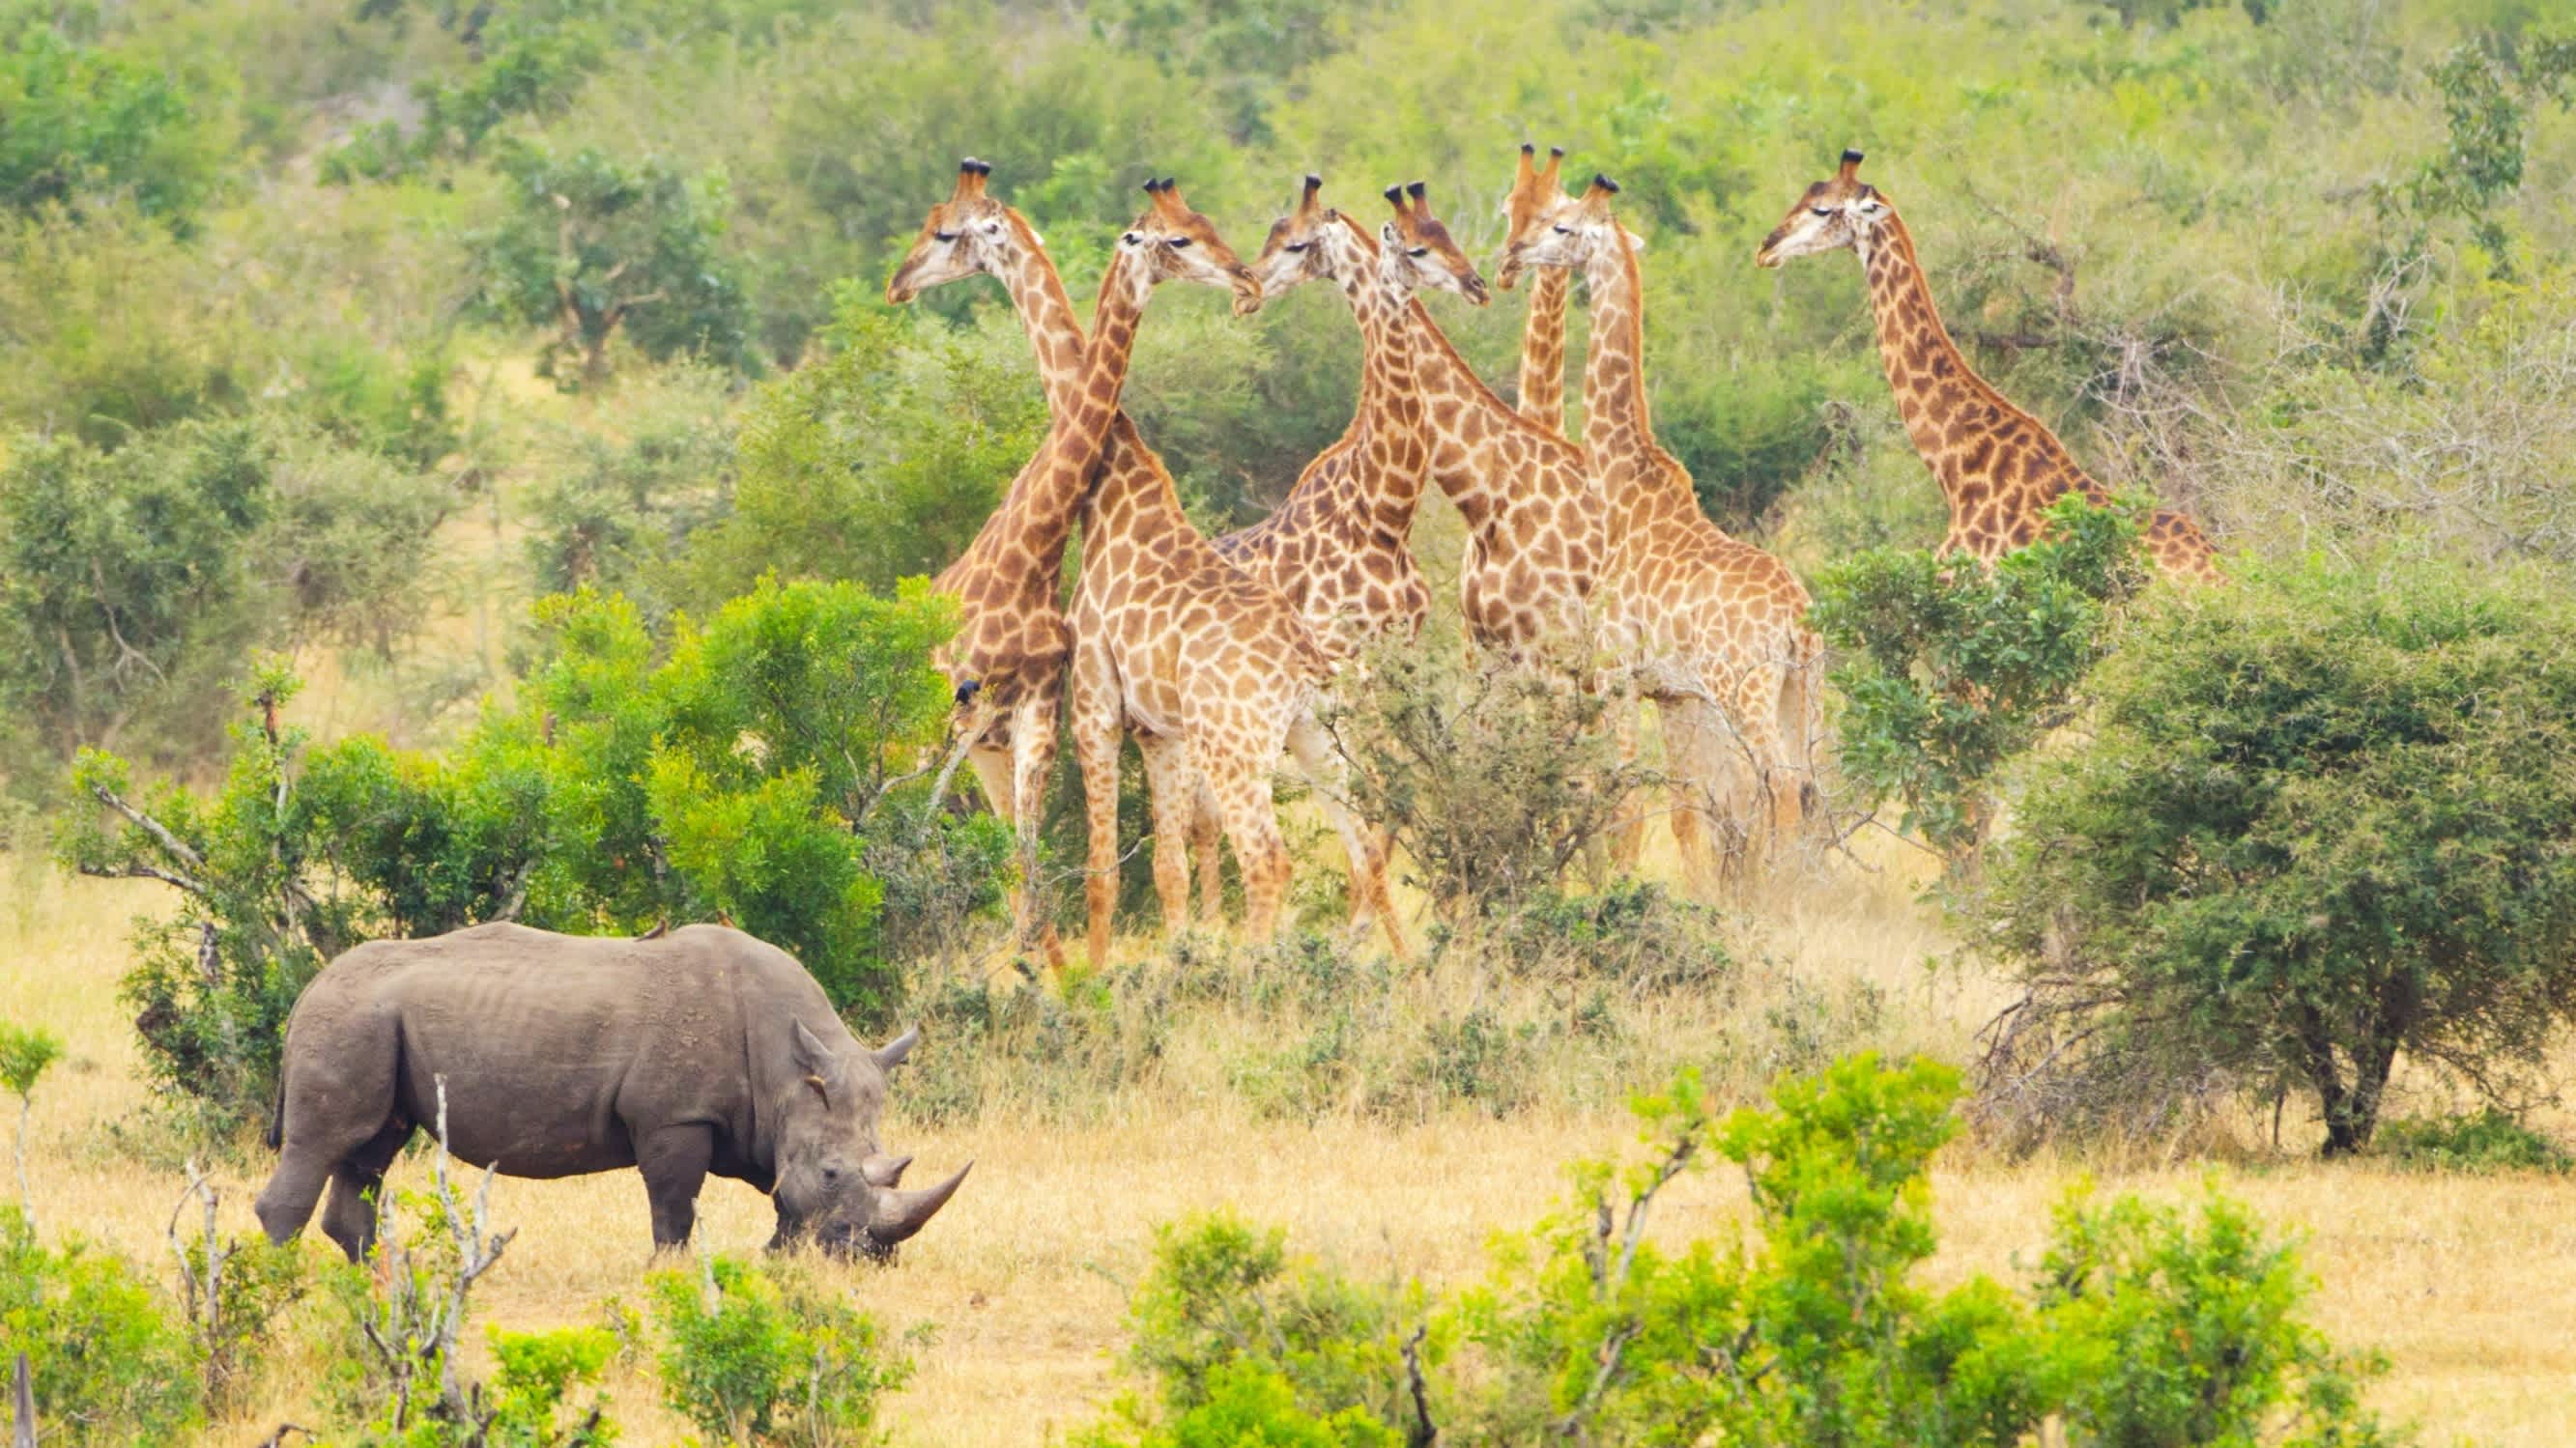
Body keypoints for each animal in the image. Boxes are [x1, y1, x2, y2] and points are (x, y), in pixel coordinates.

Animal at [1503, 174, 1823, 875]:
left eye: (1563, 225)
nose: (1513, 255)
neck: (1622, 487)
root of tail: (1796, 620)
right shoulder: (1675, 692)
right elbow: (1687, 809)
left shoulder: (1618, 670)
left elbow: (1624, 802)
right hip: (1800, 686)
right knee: (1813, 784)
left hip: (1746, 687)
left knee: (1783, 783)